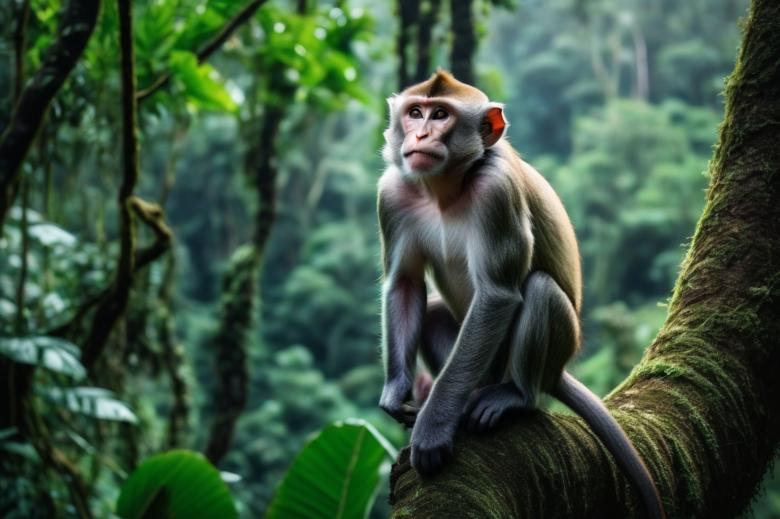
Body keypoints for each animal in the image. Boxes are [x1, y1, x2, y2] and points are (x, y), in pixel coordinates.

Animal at [377, 70, 665, 519]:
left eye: (440, 115)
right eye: (415, 113)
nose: (420, 135)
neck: (444, 189)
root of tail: (558, 370)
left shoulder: (497, 192)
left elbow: (498, 293)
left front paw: (434, 426)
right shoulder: (392, 193)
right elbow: (405, 284)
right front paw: (396, 392)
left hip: (555, 349)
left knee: (539, 290)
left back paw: (514, 396)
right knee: (438, 314)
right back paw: (471, 394)